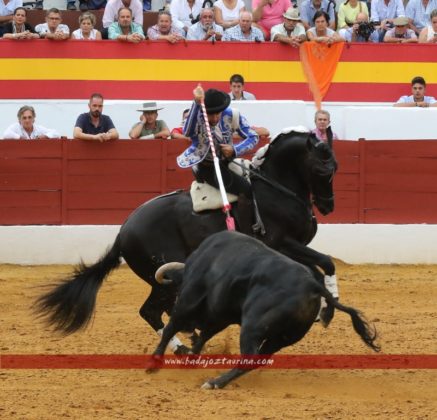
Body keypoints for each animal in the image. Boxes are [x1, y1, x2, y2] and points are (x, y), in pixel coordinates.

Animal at [36, 129, 338, 352]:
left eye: (335, 167)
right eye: (322, 171)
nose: (327, 206)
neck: (276, 188)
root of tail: (123, 231)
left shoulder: (296, 247)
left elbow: (318, 268)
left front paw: (323, 308)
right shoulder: (281, 243)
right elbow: (325, 263)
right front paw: (327, 310)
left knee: (162, 310)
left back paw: (191, 335)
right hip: (163, 277)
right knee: (151, 311)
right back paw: (182, 345)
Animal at [152, 231, 380, 388]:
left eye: (176, 290)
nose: (189, 328)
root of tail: (312, 286)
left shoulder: (188, 301)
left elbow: (171, 328)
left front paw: (154, 363)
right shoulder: (221, 316)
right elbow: (204, 336)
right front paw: (189, 360)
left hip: (252, 327)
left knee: (249, 357)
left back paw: (215, 382)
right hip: (283, 338)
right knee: (257, 358)